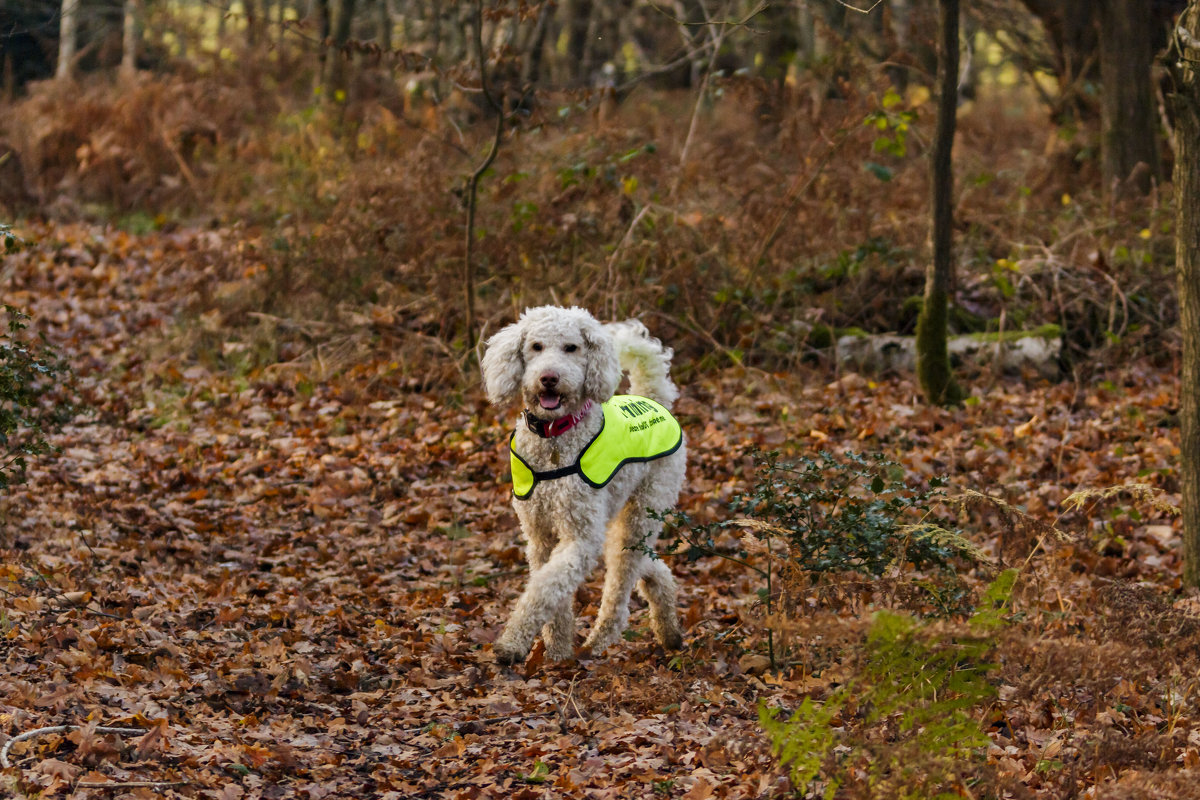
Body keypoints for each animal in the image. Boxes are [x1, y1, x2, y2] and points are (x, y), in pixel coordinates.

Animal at [477, 307, 686, 662]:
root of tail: (654, 399)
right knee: (653, 567)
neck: (554, 436)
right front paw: (558, 651)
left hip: (643, 510)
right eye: (536, 346)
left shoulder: (580, 538)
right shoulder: (540, 536)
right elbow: (554, 594)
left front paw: (513, 642)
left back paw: (598, 642)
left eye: (571, 348)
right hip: (621, 524)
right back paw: (668, 629)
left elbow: (544, 588)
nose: (549, 377)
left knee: (620, 587)